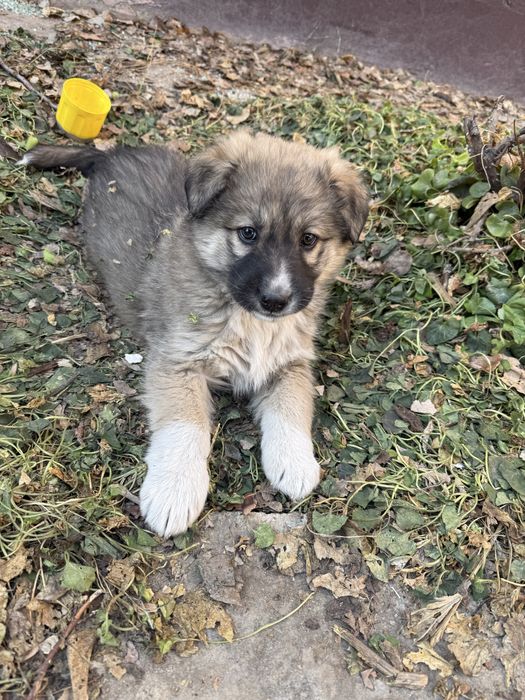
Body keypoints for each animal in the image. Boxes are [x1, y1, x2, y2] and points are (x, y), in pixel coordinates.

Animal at [22, 131, 369, 537]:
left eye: (308, 239)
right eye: (248, 233)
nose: (275, 301)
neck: (245, 317)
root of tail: (111, 154)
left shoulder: (290, 363)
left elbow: (291, 409)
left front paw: (294, 461)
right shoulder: (177, 362)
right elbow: (185, 427)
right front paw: (174, 491)